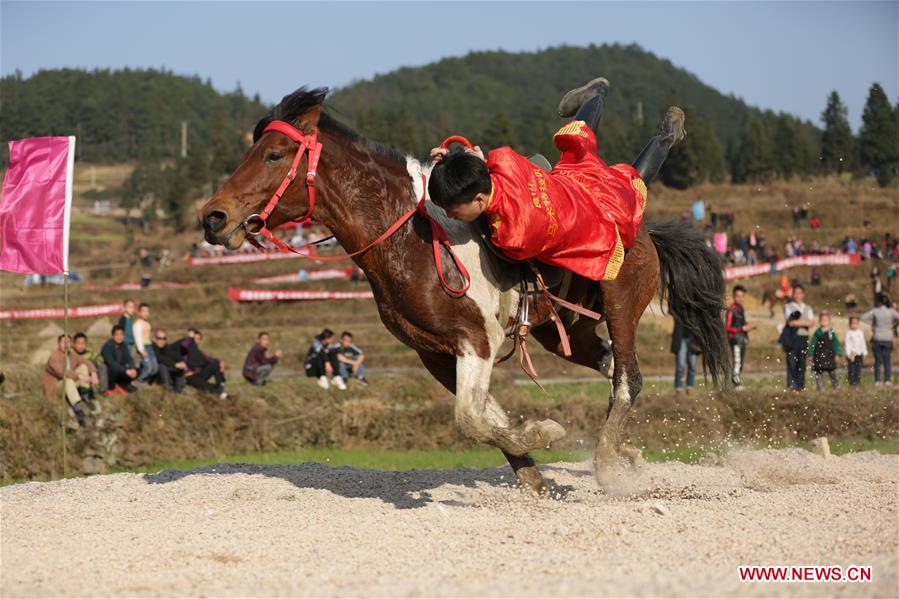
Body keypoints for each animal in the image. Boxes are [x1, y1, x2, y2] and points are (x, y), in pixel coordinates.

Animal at [199, 88, 729, 493]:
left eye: (272, 155)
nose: (213, 217)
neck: (411, 238)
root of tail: (642, 228)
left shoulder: (476, 339)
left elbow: (471, 419)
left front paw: (544, 431)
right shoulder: (435, 352)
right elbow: (483, 417)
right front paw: (533, 473)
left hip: (620, 300)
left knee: (627, 379)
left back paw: (607, 462)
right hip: (566, 329)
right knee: (608, 364)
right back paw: (627, 451)